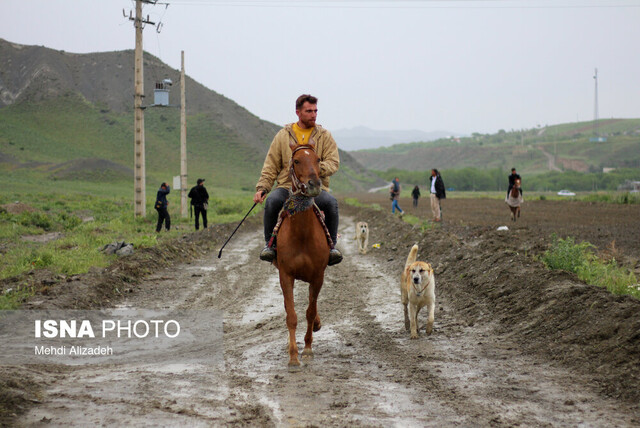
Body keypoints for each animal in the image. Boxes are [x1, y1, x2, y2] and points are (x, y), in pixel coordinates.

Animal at [272, 140, 330, 368]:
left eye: (318, 159)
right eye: (296, 160)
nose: (314, 185)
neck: (302, 235)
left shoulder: (318, 276)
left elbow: (310, 312)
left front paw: (307, 349)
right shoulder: (286, 275)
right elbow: (292, 315)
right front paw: (293, 356)